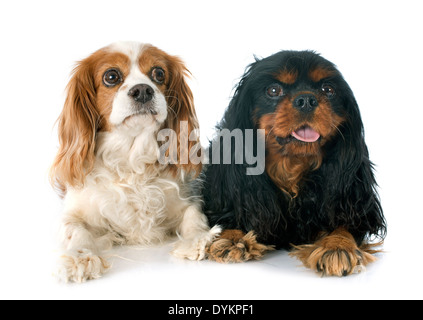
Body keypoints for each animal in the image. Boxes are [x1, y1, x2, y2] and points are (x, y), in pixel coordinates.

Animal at [203, 51, 388, 276]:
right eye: (273, 90)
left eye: (328, 90)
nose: (306, 100)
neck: (292, 168)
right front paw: (233, 238)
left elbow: (344, 225)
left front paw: (337, 246)